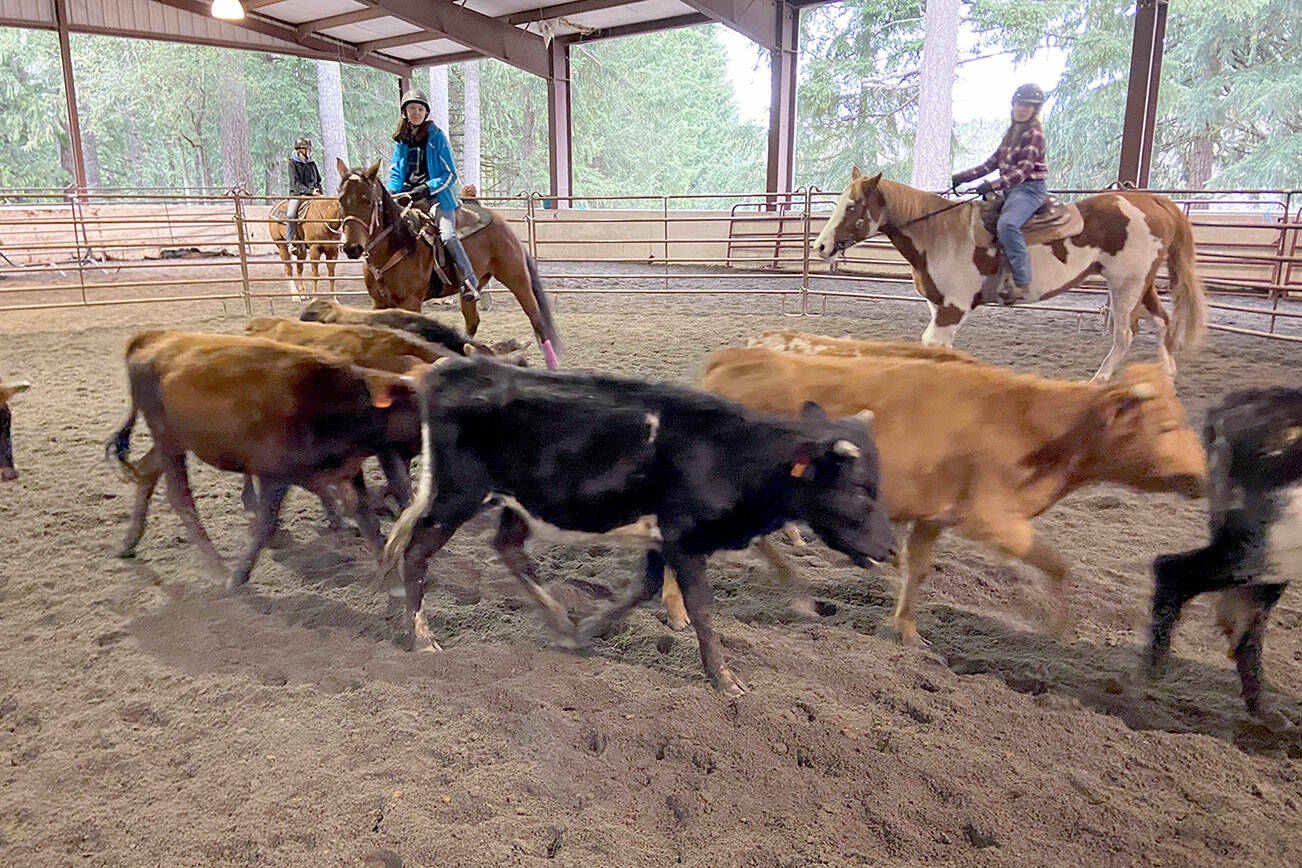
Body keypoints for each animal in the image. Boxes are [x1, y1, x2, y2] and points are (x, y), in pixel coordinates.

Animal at [105, 331, 421, 589]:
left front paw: (391, 579)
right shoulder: (274, 474)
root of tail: (153, 337)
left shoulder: (346, 471)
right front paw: (238, 576)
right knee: (180, 497)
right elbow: (266, 523)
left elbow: (367, 519)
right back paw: (217, 567)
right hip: (168, 440)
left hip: (174, 441)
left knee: (146, 471)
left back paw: (128, 543)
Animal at [382, 358, 895, 697]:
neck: (731, 453)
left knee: (509, 549)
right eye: (861, 488)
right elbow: (702, 610)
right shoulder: (686, 539)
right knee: (417, 553)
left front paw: (591, 629)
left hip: (516, 503)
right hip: (456, 494)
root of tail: (456, 368)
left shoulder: (662, 539)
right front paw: (725, 678)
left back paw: (561, 622)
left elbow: (643, 588)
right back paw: (422, 638)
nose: (890, 548)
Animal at [700, 344, 1208, 646]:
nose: (1203, 476)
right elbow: (1056, 565)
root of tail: (736, 357)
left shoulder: (932, 518)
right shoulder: (991, 519)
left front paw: (906, 630)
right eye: (1166, 426)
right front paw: (1061, 628)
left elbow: (918, 570)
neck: (1038, 426)